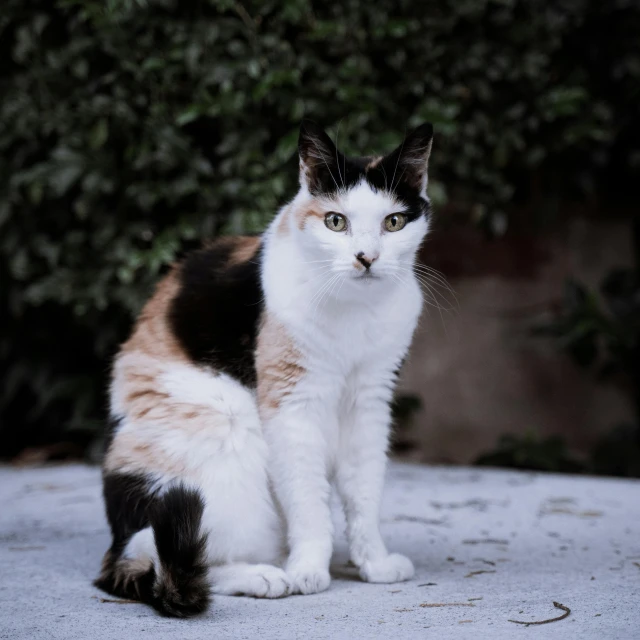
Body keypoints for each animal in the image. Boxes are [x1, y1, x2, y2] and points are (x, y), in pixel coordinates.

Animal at [94, 119, 436, 616]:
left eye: (393, 222)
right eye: (336, 221)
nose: (367, 258)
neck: (355, 309)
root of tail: (114, 540)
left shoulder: (370, 401)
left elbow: (364, 492)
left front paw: (373, 563)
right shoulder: (294, 403)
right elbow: (308, 499)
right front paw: (309, 569)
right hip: (224, 435)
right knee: (168, 557)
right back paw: (264, 576)